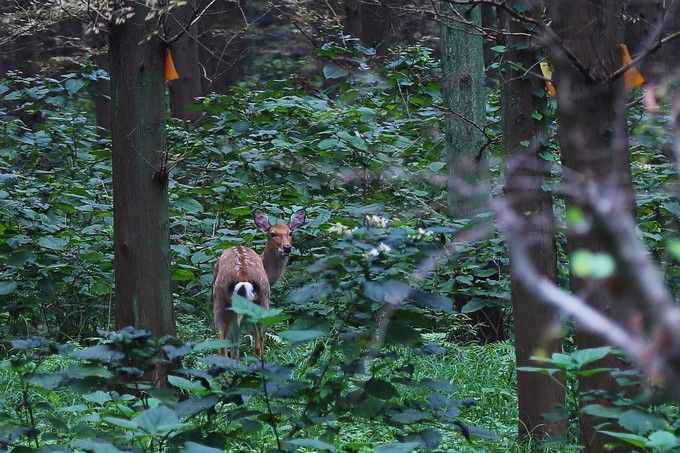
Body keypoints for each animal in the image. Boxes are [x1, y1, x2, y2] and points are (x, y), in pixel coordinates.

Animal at [212, 207, 308, 358]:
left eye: (290, 232)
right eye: (272, 234)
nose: (287, 247)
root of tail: (243, 276)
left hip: (222, 299)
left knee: (224, 343)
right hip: (261, 299)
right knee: (255, 344)